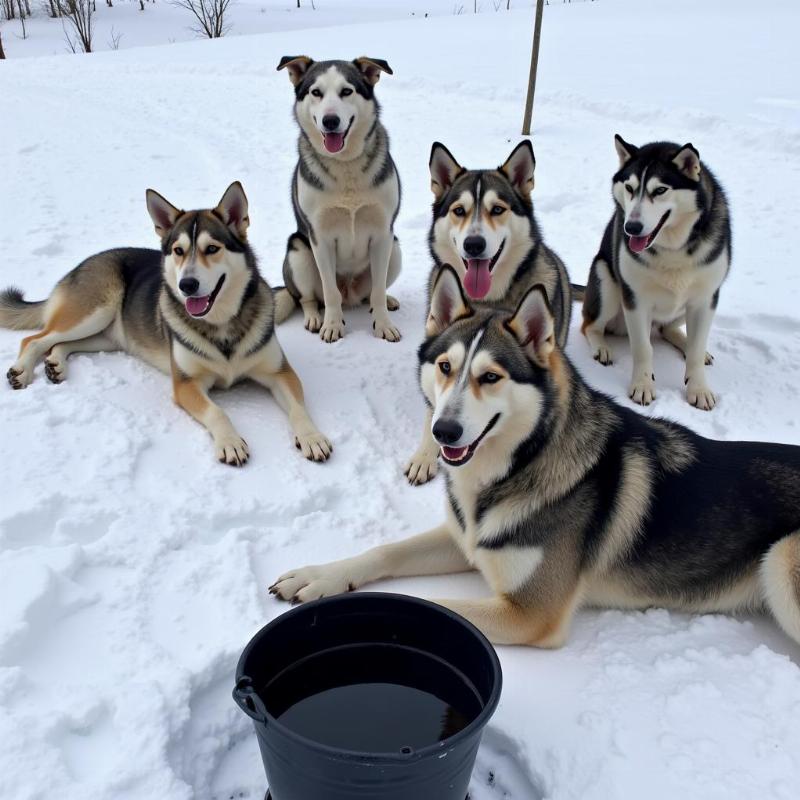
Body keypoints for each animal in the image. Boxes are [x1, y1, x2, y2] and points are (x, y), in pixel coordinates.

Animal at [270, 266, 800, 652]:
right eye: (445, 367)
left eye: (490, 377)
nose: (442, 432)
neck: (517, 468)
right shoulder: (466, 538)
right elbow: (384, 553)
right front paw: (317, 577)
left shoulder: (529, 613)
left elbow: (417, 604)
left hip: (779, 562)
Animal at [406, 141, 568, 484]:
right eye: (459, 211)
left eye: (497, 209)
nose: (474, 244)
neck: (488, 301)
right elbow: (433, 405)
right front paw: (425, 456)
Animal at [580, 135, 732, 410]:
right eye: (629, 188)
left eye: (660, 190)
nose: (631, 227)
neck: (673, 247)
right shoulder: (635, 298)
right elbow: (643, 348)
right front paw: (642, 385)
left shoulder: (705, 299)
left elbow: (695, 350)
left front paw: (699, 388)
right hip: (606, 282)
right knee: (590, 325)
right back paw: (601, 347)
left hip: (684, 306)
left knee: (668, 330)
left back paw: (687, 343)